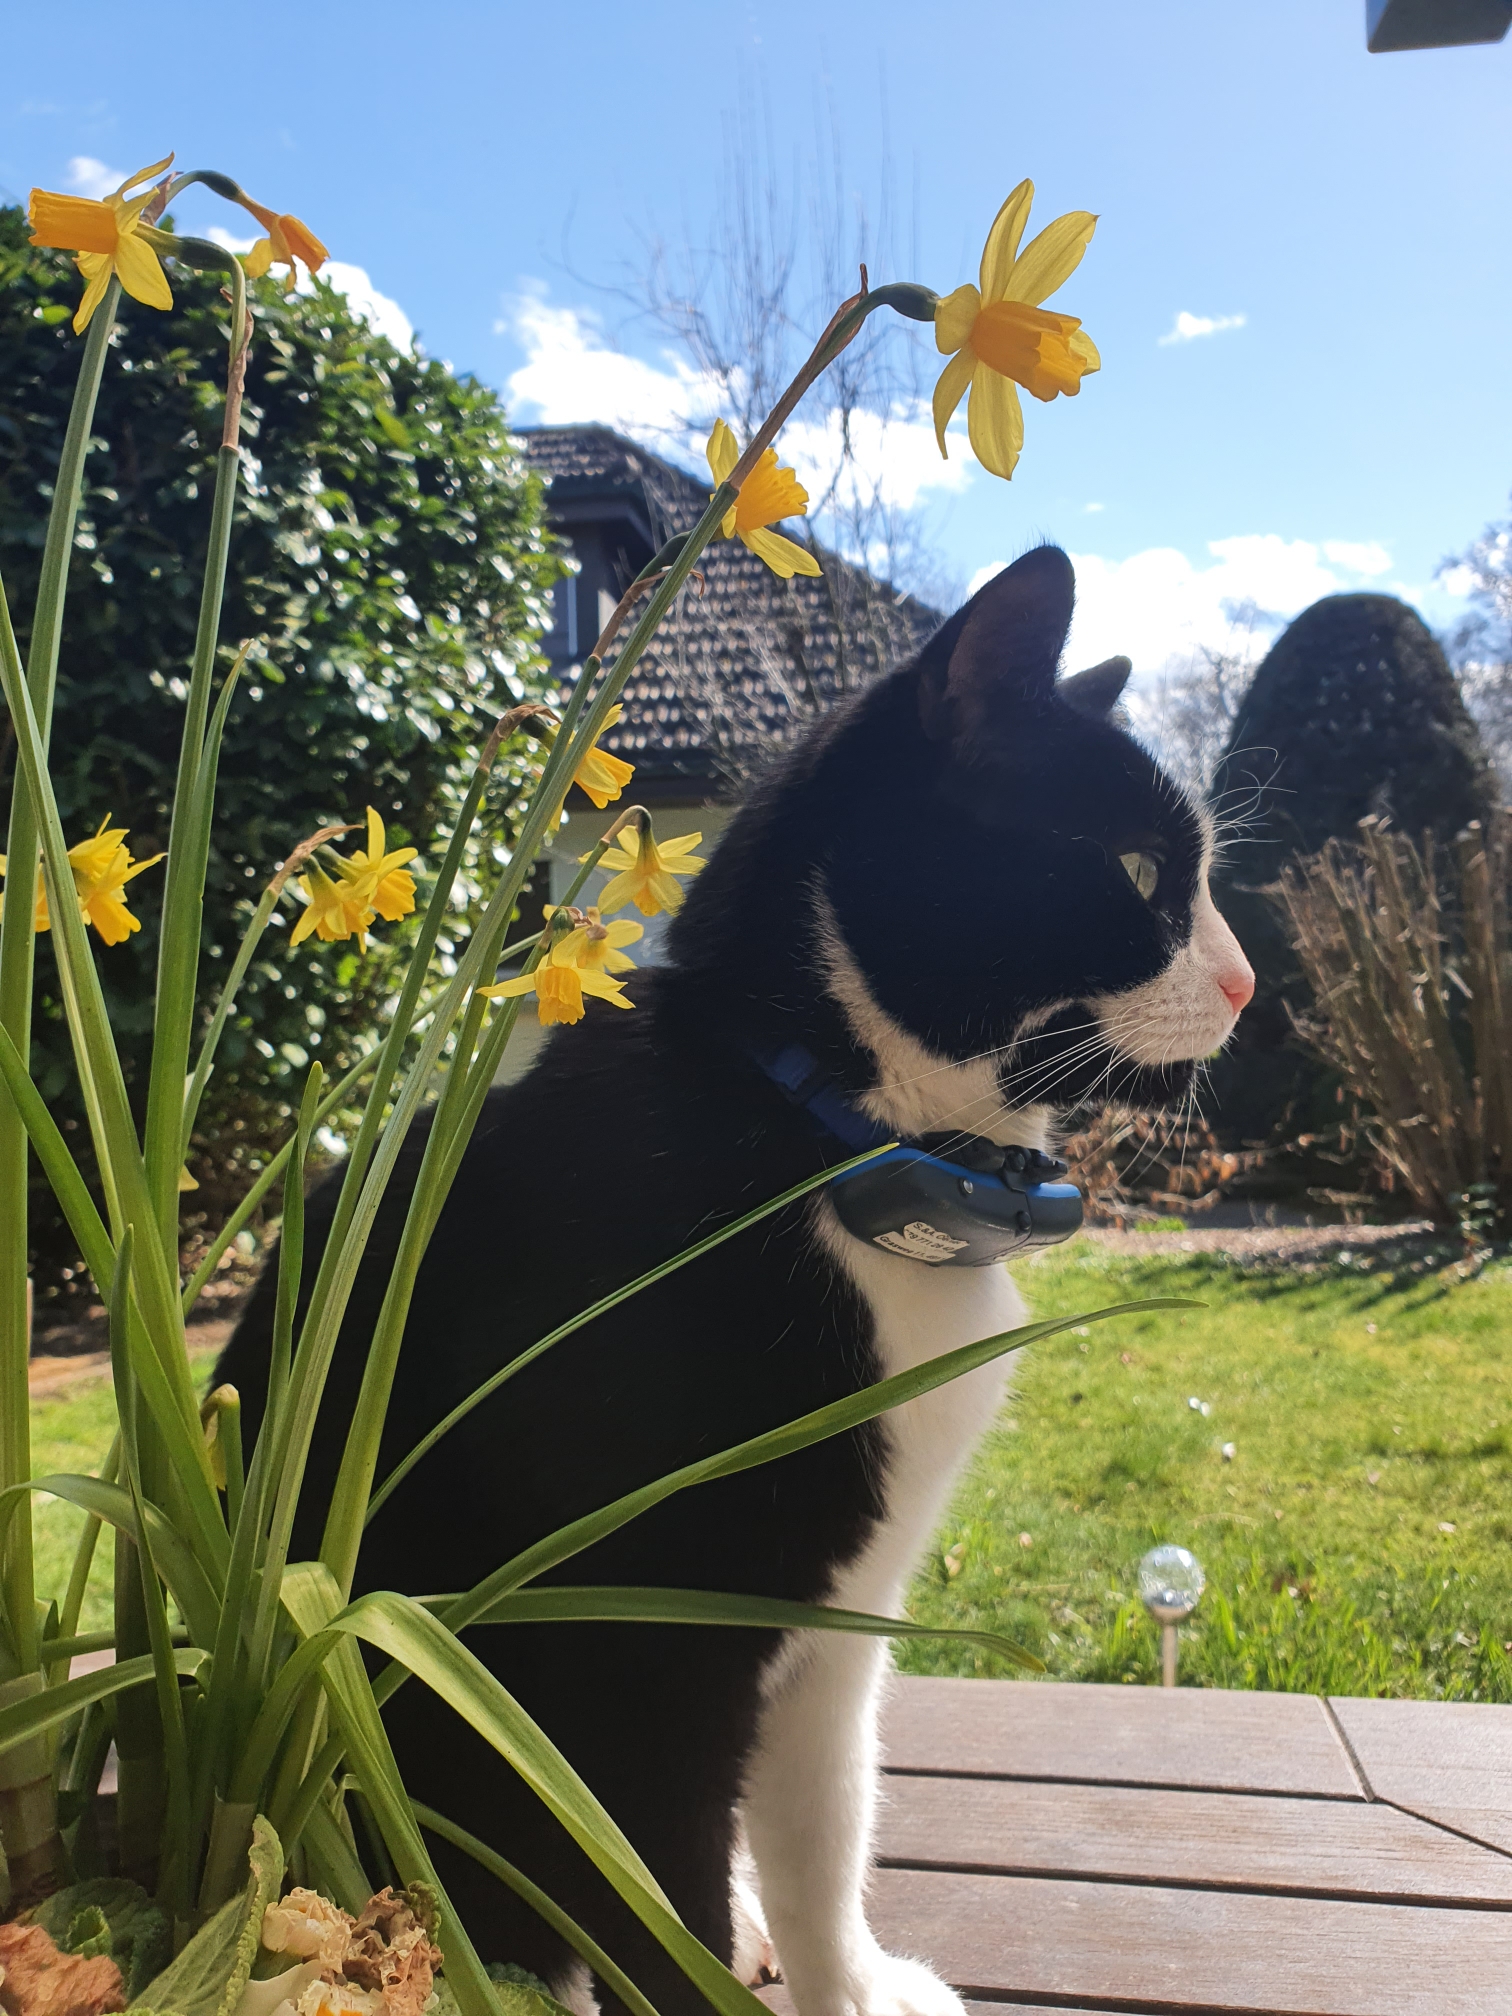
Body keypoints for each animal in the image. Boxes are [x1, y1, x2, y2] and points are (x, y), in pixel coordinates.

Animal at [217, 544, 1253, 2016]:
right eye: (1136, 866)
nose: (1247, 979)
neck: (831, 1146)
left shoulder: (830, 1622)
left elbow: (826, 1843)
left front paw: (844, 1978)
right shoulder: (643, 1645)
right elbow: (666, 1917)